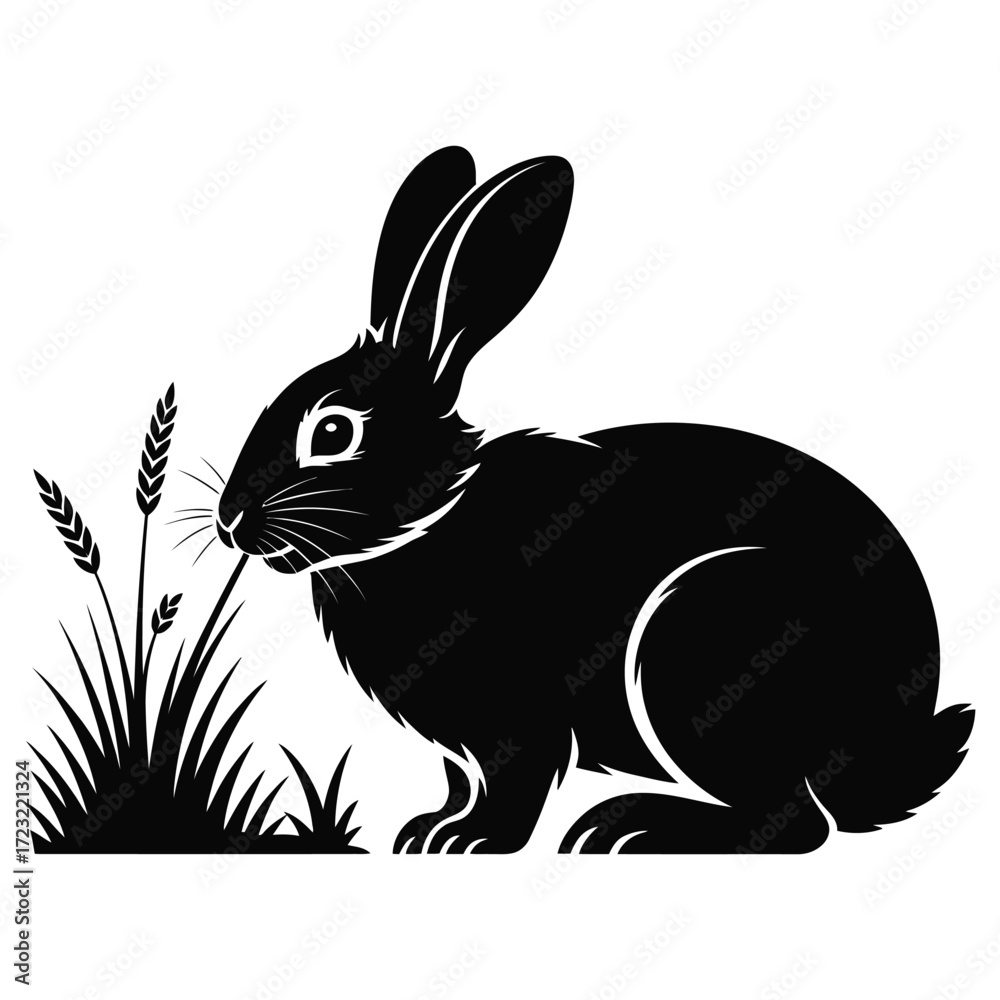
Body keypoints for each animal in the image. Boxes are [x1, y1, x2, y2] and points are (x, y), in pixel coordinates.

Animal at [216, 146, 973, 854]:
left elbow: (514, 781)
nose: (230, 522)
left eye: (334, 431)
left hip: (701, 646)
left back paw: (628, 830)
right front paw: (427, 829)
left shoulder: (516, 711)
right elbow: (460, 781)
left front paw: (471, 842)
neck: (434, 520)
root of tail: (894, 744)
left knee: (793, 822)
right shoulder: (460, 741)